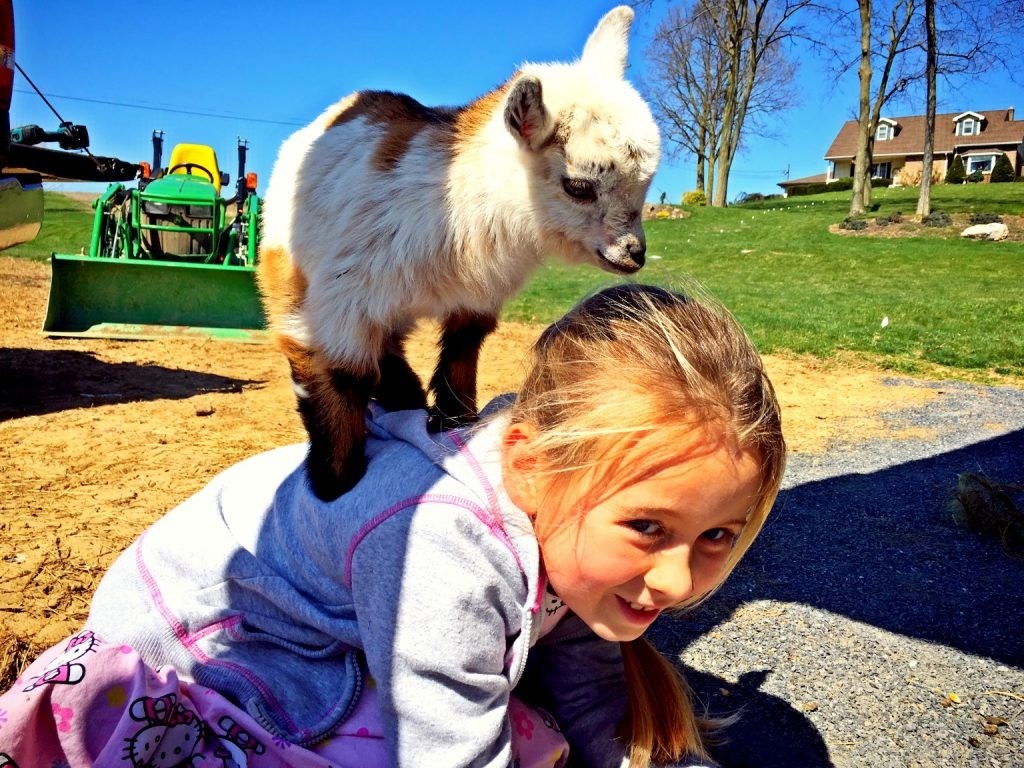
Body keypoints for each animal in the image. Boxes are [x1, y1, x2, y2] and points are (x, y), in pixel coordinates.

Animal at [258, 6, 660, 500]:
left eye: (646, 183)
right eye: (579, 186)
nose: (633, 253)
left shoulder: (475, 297)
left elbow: (460, 359)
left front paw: (456, 422)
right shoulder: (339, 301)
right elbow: (340, 376)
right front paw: (335, 480)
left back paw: (406, 396)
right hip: (288, 265)